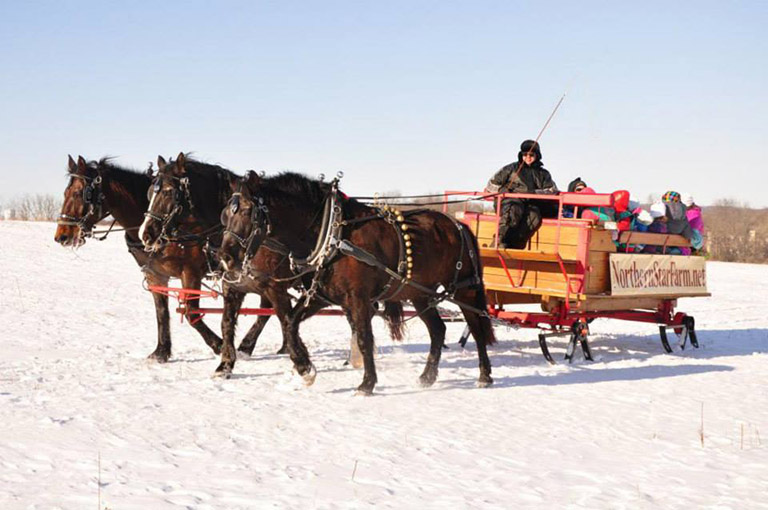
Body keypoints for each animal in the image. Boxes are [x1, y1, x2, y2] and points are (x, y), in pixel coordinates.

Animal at [52, 155, 266, 362]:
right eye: (65, 193)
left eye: (80, 193)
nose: (61, 235)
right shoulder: (154, 275)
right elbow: (161, 312)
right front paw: (161, 351)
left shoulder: (191, 272)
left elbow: (190, 312)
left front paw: (219, 345)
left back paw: (245, 346)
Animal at [219, 169, 496, 392]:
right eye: (225, 215)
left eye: (248, 212)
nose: (224, 256)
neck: (333, 233)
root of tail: (458, 224)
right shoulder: (321, 297)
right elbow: (289, 324)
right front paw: (305, 368)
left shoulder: (358, 299)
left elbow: (364, 338)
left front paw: (367, 383)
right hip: (420, 293)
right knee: (438, 330)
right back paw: (427, 377)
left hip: (464, 290)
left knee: (477, 326)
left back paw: (484, 375)